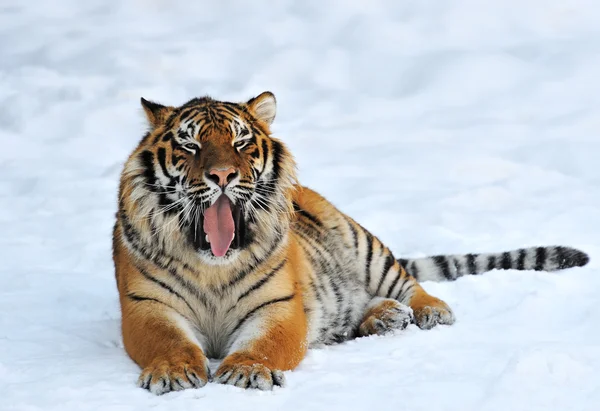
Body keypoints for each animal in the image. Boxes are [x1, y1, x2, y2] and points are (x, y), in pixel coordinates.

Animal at [113, 91, 592, 396]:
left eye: (241, 142)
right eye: (191, 145)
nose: (223, 175)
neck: (214, 263)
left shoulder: (279, 307)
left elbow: (264, 345)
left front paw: (246, 372)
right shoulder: (146, 306)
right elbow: (168, 341)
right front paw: (174, 372)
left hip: (365, 246)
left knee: (408, 284)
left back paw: (426, 311)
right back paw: (384, 318)